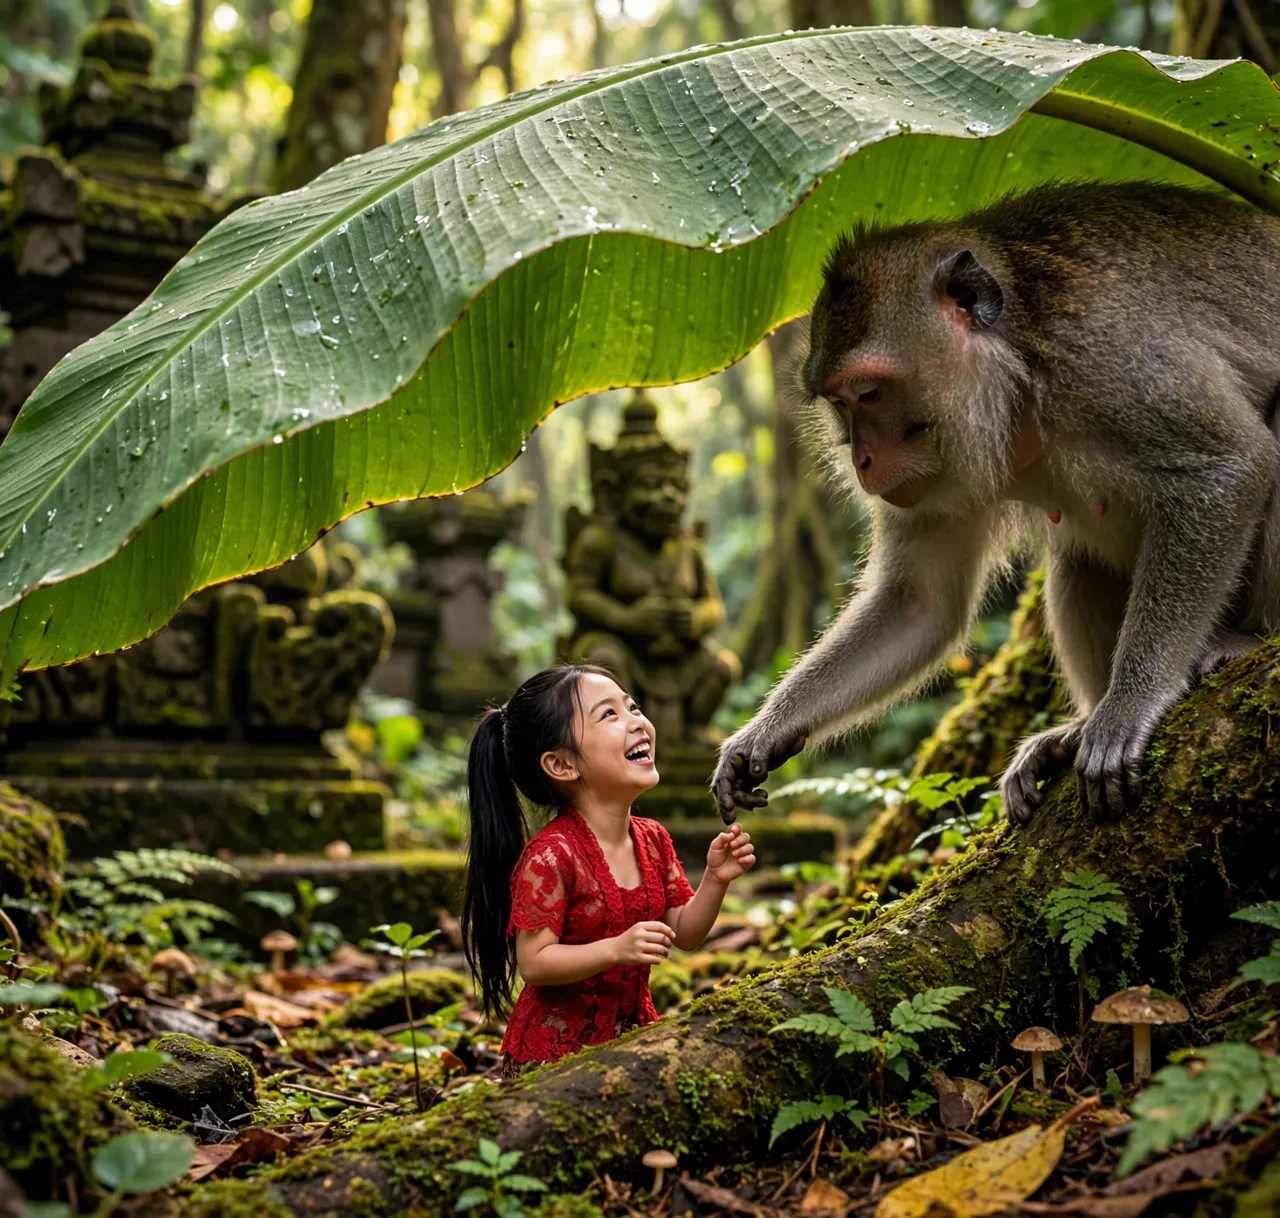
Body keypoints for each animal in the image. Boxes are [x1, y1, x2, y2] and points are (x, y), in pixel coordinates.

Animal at [711, 181, 1280, 826]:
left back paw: (1238, 645)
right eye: (839, 404)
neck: (1016, 372)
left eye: (870, 393)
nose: (861, 460)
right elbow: (919, 605)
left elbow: (1229, 467)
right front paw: (765, 730)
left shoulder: (1114, 361)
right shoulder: (935, 476)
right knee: (1076, 559)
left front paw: (1132, 704)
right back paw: (1074, 729)